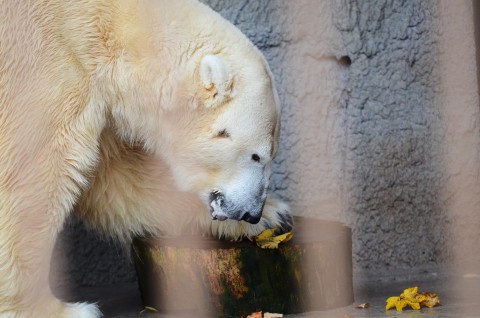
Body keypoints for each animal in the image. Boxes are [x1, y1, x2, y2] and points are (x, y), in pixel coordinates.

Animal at [0, 0, 292, 316]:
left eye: (270, 155)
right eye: (257, 156)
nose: (252, 213)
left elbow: (121, 182)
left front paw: (276, 214)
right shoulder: (47, 65)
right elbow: (33, 176)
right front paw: (56, 308)